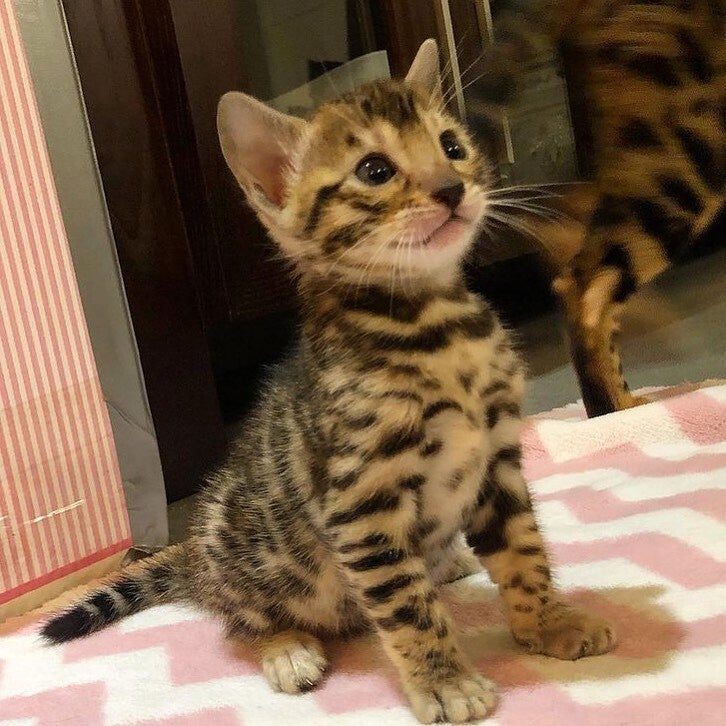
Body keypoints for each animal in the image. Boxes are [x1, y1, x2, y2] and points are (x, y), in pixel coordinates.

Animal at [41, 40, 614, 724]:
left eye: (451, 145)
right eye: (375, 170)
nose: (452, 188)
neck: (434, 326)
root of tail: (196, 560)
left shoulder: (497, 461)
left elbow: (523, 551)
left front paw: (549, 623)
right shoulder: (360, 502)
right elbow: (407, 609)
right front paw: (445, 680)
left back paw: (449, 562)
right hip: (252, 555)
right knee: (238, 620)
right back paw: (285, 648)